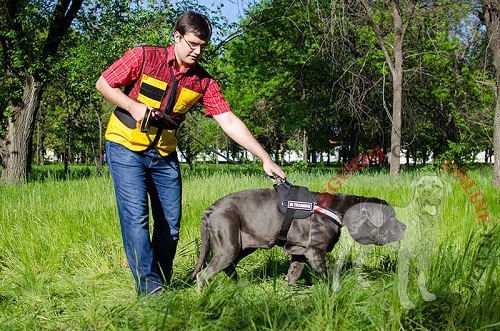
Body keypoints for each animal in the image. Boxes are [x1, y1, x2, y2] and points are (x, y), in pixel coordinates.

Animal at [189, 189, 404, 290]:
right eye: (390, 217)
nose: (404, 226)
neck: (337, 210)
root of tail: (210, 210)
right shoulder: (316, 252)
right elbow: (327, 277)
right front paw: (332, 293)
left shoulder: (299, 253)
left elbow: (294, 273)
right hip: (229, 245)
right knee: (204, 275)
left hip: (241, 246)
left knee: (227, 267)